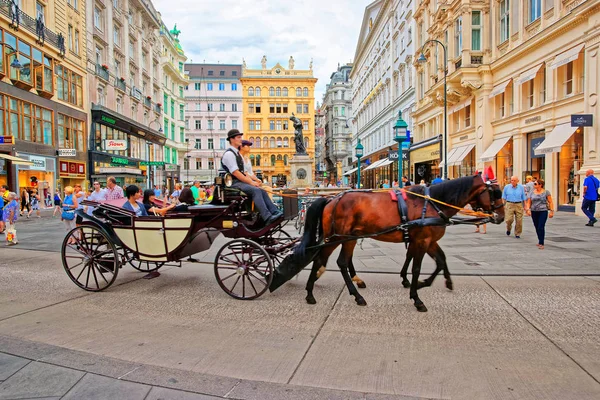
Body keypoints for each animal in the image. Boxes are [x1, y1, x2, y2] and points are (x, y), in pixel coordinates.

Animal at [298, 175, 504, 312]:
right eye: (494, 193)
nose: (501, 217)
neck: (432, 204)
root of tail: (331, 199)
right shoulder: (422, 240)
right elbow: (417, 268)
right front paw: (417, 296)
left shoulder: (428, 241)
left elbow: (440, 261)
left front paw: (433, 282)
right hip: (338, 237)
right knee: (335, 261)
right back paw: (352, 295)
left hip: (345, 237)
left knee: (325, 259)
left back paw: (310, 292)